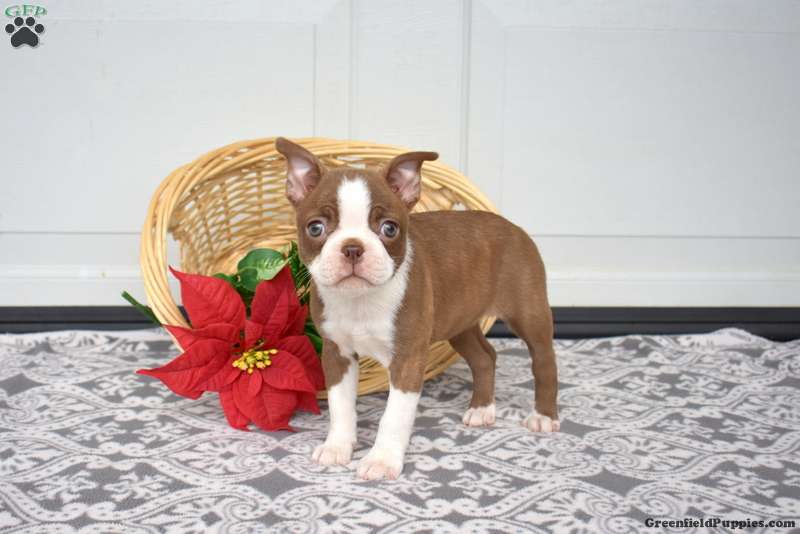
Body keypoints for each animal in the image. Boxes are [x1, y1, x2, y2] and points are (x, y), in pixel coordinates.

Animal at [275, 137, 559, 480]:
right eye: (315, 228)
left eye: (390, 229)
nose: (353, 247)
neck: (361, 301)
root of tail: (513, 226)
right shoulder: (336, 353)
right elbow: (340, 405)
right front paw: (337, 446)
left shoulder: (408, 359)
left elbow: (394, 416)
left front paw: (382, 460)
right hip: (459, 322)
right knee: (485, 357)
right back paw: (481, 409)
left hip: (529, 313)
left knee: (544, 360)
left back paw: (543, 416)